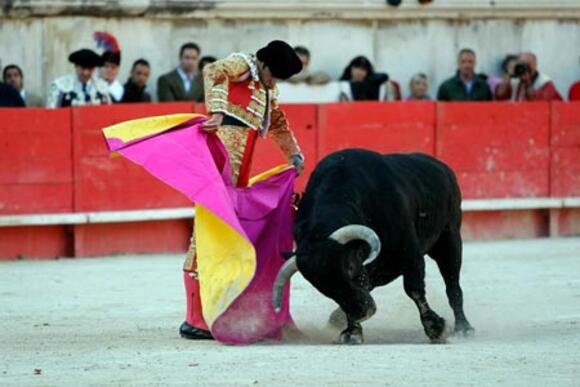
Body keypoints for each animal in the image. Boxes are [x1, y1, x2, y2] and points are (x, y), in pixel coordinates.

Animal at [274, 150, 474, 344]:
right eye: (318, 284)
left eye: (350, 267)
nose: (361, 312)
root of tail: (442, 167)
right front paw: (352, 332)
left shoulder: (410, 253)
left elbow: (414, 289)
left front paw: (436, 328)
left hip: (449, 240)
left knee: (453, 286)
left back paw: (464, 328)